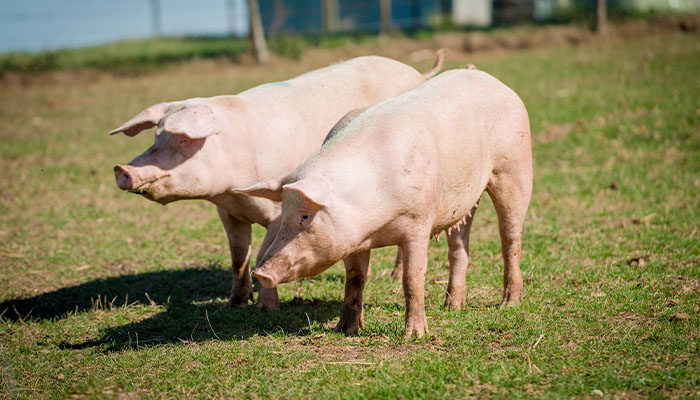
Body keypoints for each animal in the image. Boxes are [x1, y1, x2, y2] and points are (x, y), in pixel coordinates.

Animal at [112, 53, 446, 310]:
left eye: (182, 139)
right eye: (157, 136)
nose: (121, 169)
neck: (232, 188)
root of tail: (416, 72)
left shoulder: (277, 212)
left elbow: (262, 254)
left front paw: (266, 308)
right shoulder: (228, 213)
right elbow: (238, 256)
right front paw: (236, 303)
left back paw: (392, 277)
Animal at [232, 67, 532, 336]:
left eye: (305, 216)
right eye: (284, 212)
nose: (261, 273)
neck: (374, 222)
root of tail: (488, 78)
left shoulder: (418, 221)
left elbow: (413, 278)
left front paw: (415, 335)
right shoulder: (352, 238)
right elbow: (355, 278)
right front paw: (344, 329)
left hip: (514, 168)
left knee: (510, 237)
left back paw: (509, 302)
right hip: (464, 201)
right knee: (458, 247)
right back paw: (452, 307)